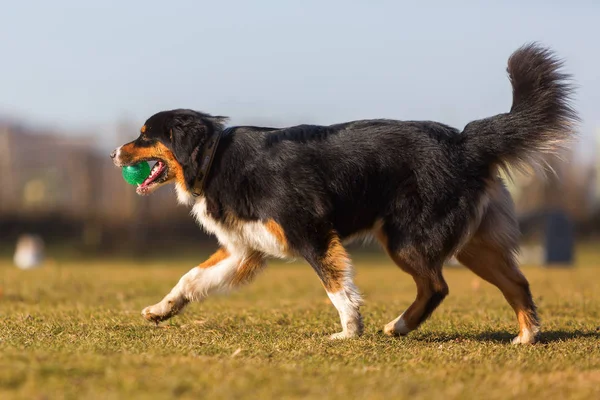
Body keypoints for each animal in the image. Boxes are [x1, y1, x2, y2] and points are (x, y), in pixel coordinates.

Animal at [109, 43, 576, 344]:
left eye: (145, 136)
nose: (114, 153)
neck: (213, 158)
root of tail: (464, 140)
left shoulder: (311, 231)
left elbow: (337, 288)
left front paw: (349, 331)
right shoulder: (244, 249)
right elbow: (191, 277)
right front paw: (162, 309)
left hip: (406, 237)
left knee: (437, 286)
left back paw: (400, 327)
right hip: (471, 243)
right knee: (516, 281)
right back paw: (526, 337)